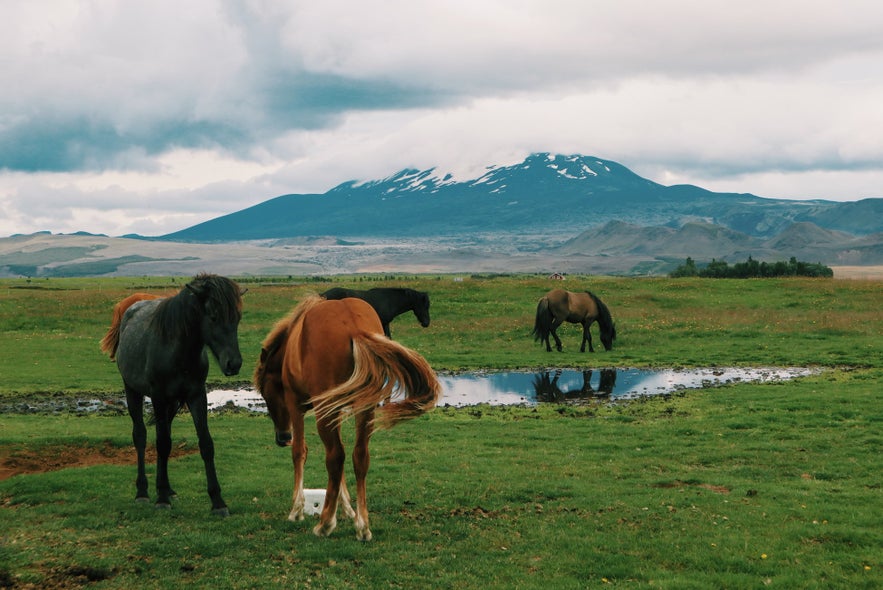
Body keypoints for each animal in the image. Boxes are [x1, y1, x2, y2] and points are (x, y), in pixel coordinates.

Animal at [103, 276, 245, 516]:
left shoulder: (197, 396)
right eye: (213, 316)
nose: (233, 364)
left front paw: (218, 502)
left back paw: (168, 489)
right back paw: (143, 492)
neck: (178, 351)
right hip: (133, 391)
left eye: (237, 317)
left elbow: (205, 444)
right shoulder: (158, 396)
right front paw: (160, 498)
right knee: (141, 436)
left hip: (172, 403)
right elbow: (161, 444)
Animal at [254, 298, 440, 544]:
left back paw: (325, 524)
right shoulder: (338, 409)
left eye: (266, 394)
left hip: (325, 410)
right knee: (359, 456)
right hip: (365, 410)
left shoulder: (296, 406)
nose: (282, 437)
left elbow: (300, 452)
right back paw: (362, 525)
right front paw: (348, 509)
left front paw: (297, 510)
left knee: (335, 456)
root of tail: (355, 328)